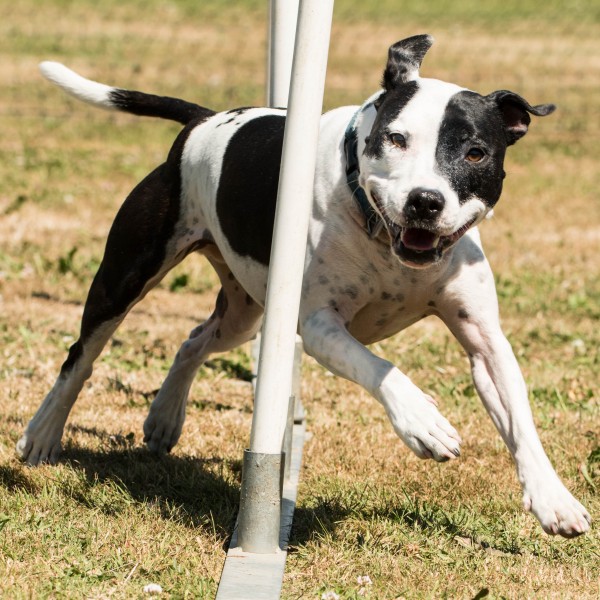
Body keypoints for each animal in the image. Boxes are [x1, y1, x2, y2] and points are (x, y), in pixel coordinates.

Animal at [17, 34, 592, 540]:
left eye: (475, 153)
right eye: (396, 138)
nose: (425, 201)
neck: (384, 241)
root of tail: (203, 121)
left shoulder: (485, 341)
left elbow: (520, 417)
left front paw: (554, 500)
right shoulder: (320, 325)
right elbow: (381, 367)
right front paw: (422, 423)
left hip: (245, 314)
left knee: (194, 340)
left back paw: (163, 418)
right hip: (126, 275)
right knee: (80, 357)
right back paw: (42, 435)